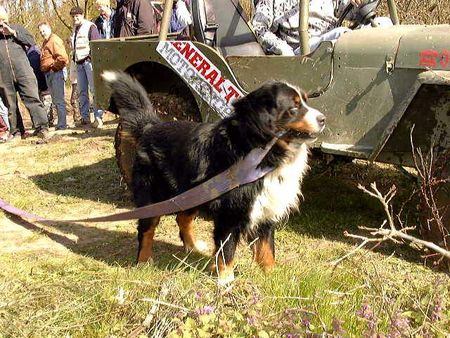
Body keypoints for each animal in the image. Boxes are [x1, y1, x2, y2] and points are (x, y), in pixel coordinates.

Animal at [103, 72, 326, 286]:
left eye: (305, 101)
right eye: (294, 107)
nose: (323, 119)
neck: (260, 151)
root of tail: (151, 126)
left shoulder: (266, 211)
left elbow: (266, 250)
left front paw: (271, 277)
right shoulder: (229, 215)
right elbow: (227, 253)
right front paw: (225, 282)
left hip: (192, 194)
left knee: (182, 218)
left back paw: (193, 247)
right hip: (153, 198)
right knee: (146, 230)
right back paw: (143, 261)